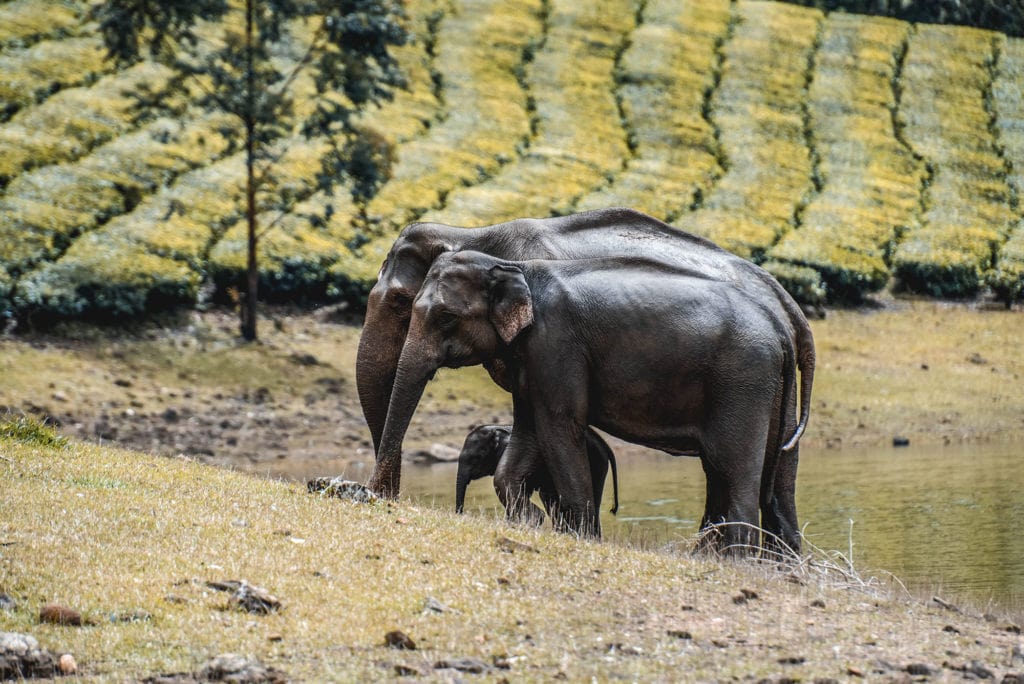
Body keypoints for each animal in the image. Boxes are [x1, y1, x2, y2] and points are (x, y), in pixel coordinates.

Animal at [360, 208, 815, 548]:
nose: (383, 497)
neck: (474, 234)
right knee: (774, 479)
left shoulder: (556, 345)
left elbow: (558, 427)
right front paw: (534, 521)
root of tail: (790, 311)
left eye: (403, 303)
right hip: (775, 387)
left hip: (745, 381)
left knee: (734, 468)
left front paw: (565, 531)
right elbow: (531, 427)